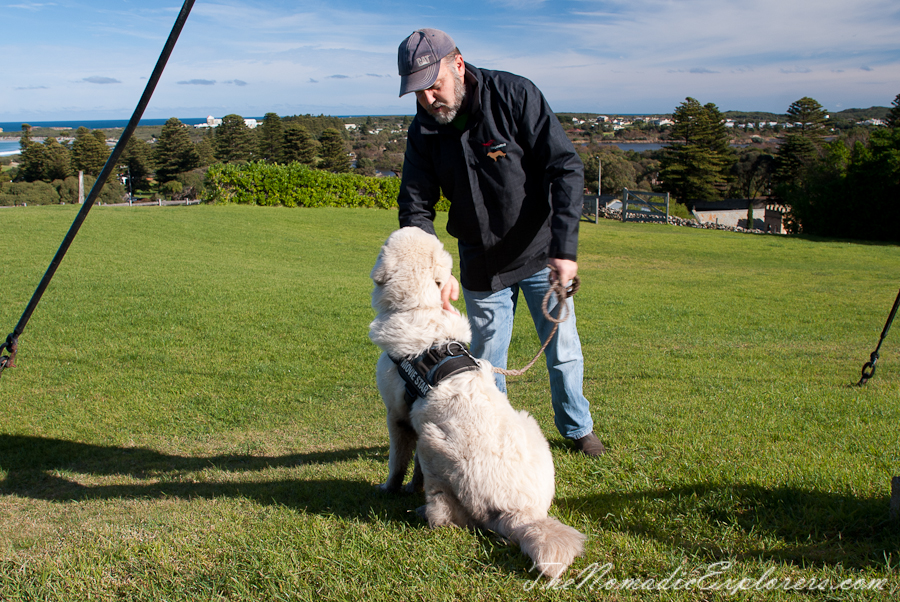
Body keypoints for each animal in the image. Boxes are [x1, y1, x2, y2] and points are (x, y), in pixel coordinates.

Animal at [370, 226, 588, 576]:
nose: (410, 224)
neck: (422, 310)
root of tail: (522, 514)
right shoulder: (413, 419)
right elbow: (413, 470)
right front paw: (411, 487)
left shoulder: (398, 417)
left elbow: (397, 463)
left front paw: (390, 489)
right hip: (527, 424)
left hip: (432, 440)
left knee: (447, 516)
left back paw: (425, 512)